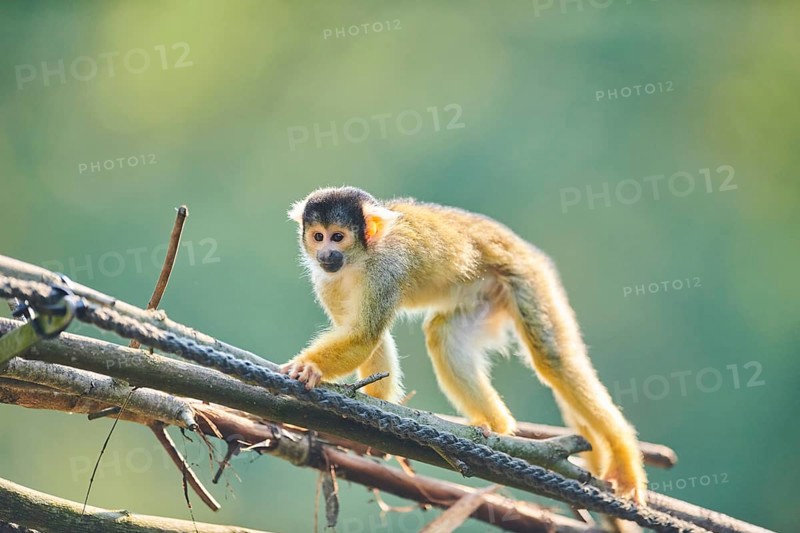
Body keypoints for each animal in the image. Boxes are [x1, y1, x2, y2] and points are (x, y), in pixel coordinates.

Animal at [281, 186, 646, 504]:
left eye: (338, 236)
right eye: (318, 236)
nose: (326, 253)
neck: (360, 259)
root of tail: (522, 247)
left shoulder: (386, 269)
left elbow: (364, 335)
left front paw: (310, 367)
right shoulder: (326, 279)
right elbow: (364, 333)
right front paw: (375, 402)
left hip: (527, 277)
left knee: (553, 359)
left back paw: (624, 459)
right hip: (484, 293)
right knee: (443, 334)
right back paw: (494, 426)